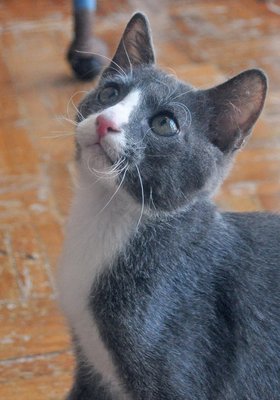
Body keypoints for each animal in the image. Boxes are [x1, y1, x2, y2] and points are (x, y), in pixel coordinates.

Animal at [57, 12, 280, 400]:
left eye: (164, 124)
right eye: (110, 92)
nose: (105, 121)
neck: (105, 216)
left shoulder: (178, 374)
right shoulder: (89, 370)